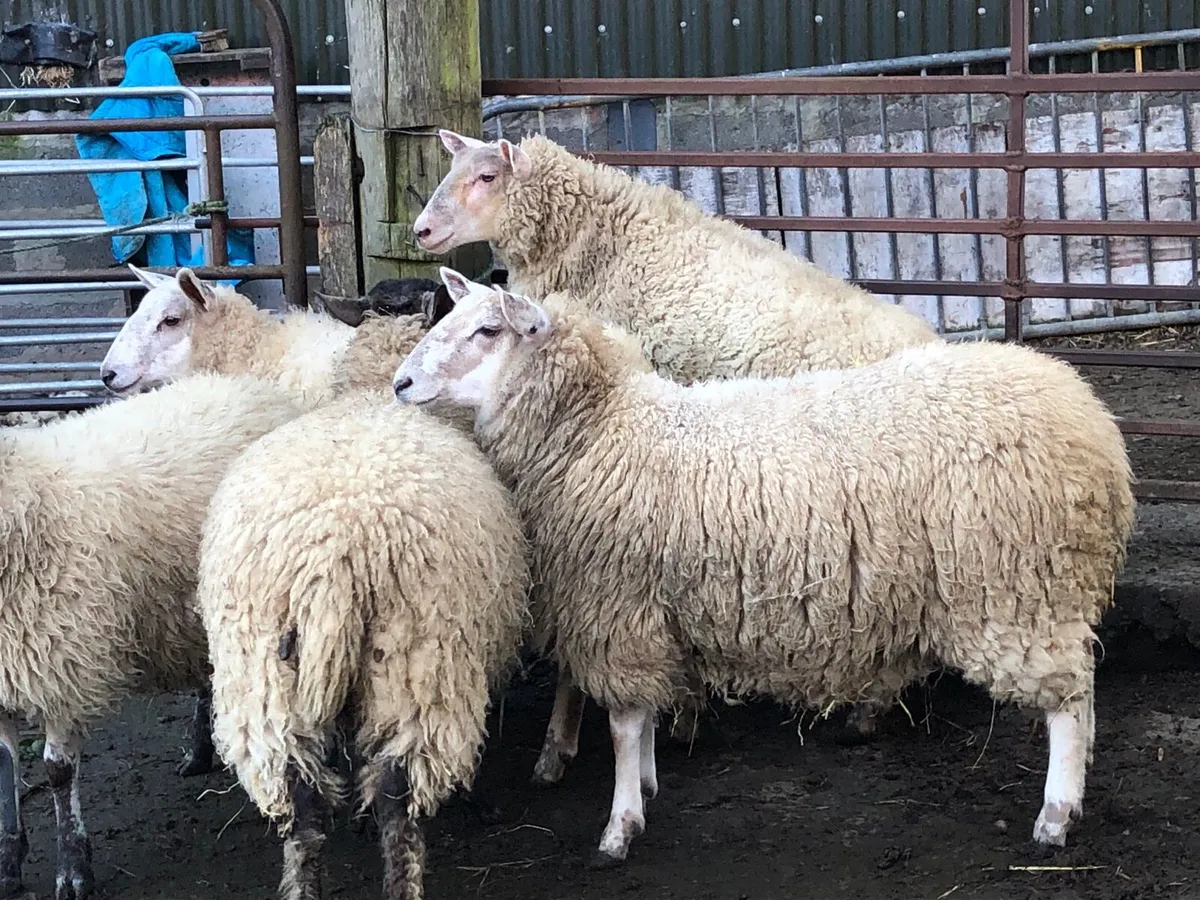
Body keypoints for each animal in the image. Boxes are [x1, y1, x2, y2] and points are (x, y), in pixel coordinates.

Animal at [0, 372, 304, 900]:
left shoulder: (62, 666)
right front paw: (8, 863)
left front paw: (73, 870)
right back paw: (199, 752)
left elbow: (57, 770)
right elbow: (5, 769)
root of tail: (248, 385)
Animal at [197, 390, 530, 900]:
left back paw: (303, 884)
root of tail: (335, 555)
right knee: (398, 800)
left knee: (301, 798)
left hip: (265, 679)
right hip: (418, 663)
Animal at [392, 270, 1135, 866]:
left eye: (489, 328)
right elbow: (648, 715)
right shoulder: (649, 610)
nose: (400, 383)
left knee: (1070, 697)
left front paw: (620, 826)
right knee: (1083, 687)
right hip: (1040, 590)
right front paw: (651, 782)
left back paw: (1055, 814)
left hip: (1016, 589)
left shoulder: (619, 607)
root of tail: (1094, 427)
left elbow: (625, 724)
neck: (603, 430)